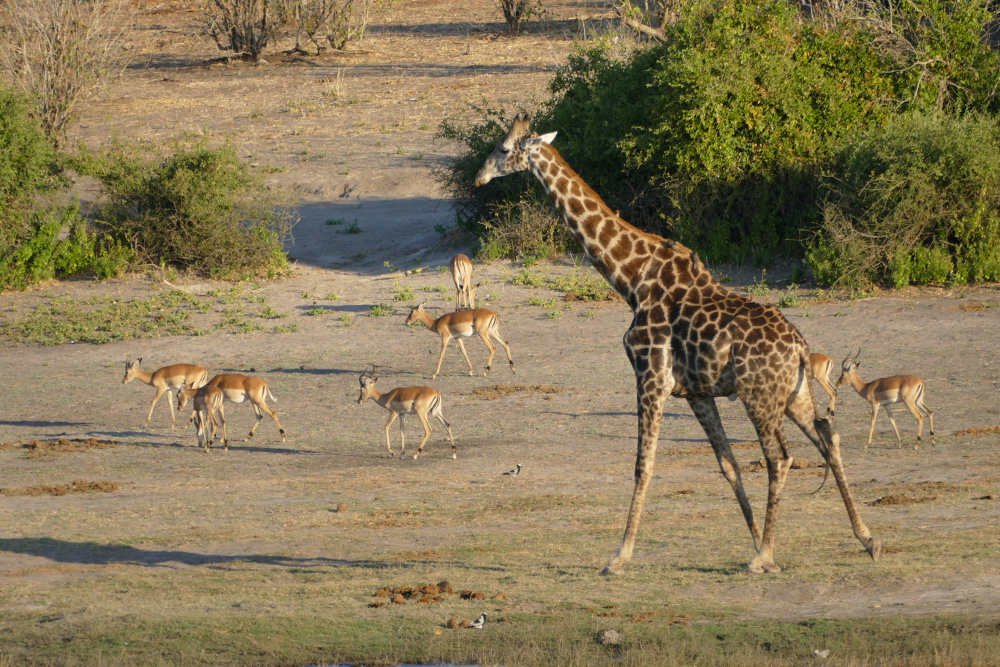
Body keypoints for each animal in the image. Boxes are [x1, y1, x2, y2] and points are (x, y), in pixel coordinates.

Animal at [474, 113, 881, 575]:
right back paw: (864, 540)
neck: (630, 279)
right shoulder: (696, 392)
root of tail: (798, 348)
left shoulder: (650, 376)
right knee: (828, 438)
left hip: (758, 396)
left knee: (779, 457)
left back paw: (765, 557)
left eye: (504, 149)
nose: (478, 177)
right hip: (794, 395)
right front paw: (754, 538)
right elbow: (728, 465)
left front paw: (619, 556)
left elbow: (644, 465)